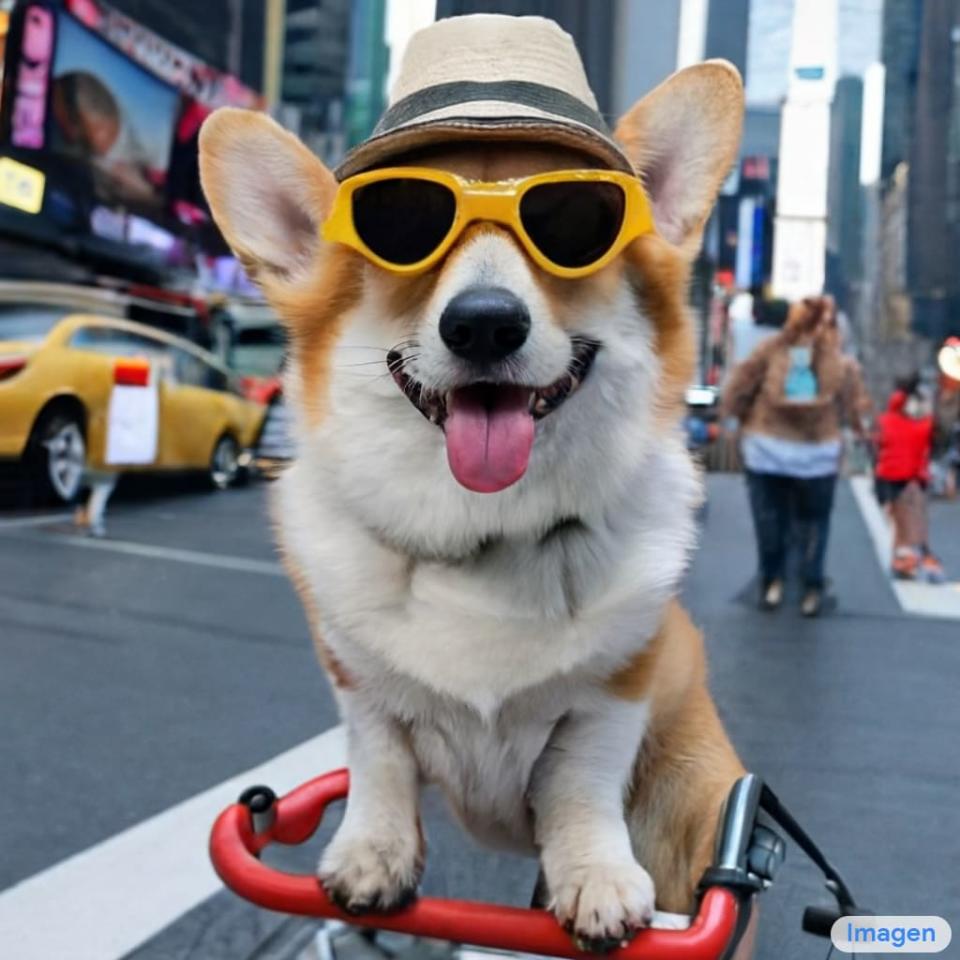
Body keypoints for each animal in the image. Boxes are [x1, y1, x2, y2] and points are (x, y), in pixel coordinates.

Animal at [199, 26, 748, 948]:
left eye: (575, 226)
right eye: (402, 228)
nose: (485, 323)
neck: (487, 533)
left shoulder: (614, 694)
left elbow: (584, 786)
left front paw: (596, 879)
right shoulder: (362, 689)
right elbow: (379, 762)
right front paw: (372, 857)